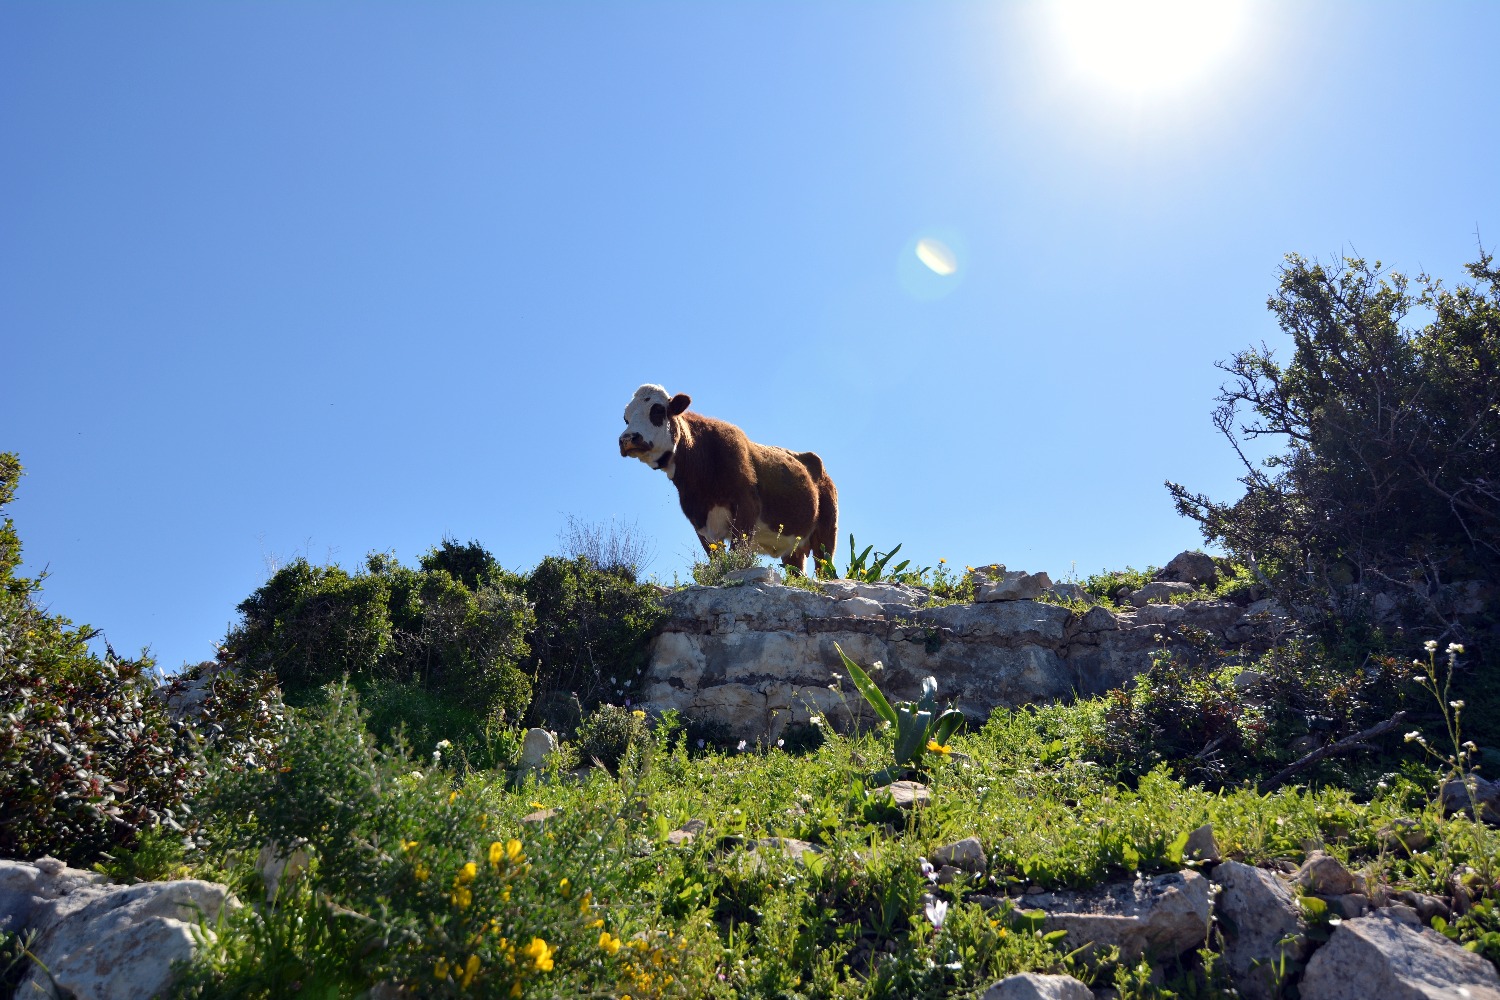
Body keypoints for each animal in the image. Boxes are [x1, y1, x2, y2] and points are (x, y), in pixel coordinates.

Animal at [615, 383, 840, 569]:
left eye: (658, 410)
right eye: (626, 418)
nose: (627, 438)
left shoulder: (746, 507)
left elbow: (736, 554)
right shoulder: (699, 521)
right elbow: (716, 559)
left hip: (826, 533)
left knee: (825, 569)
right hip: (794, 548)